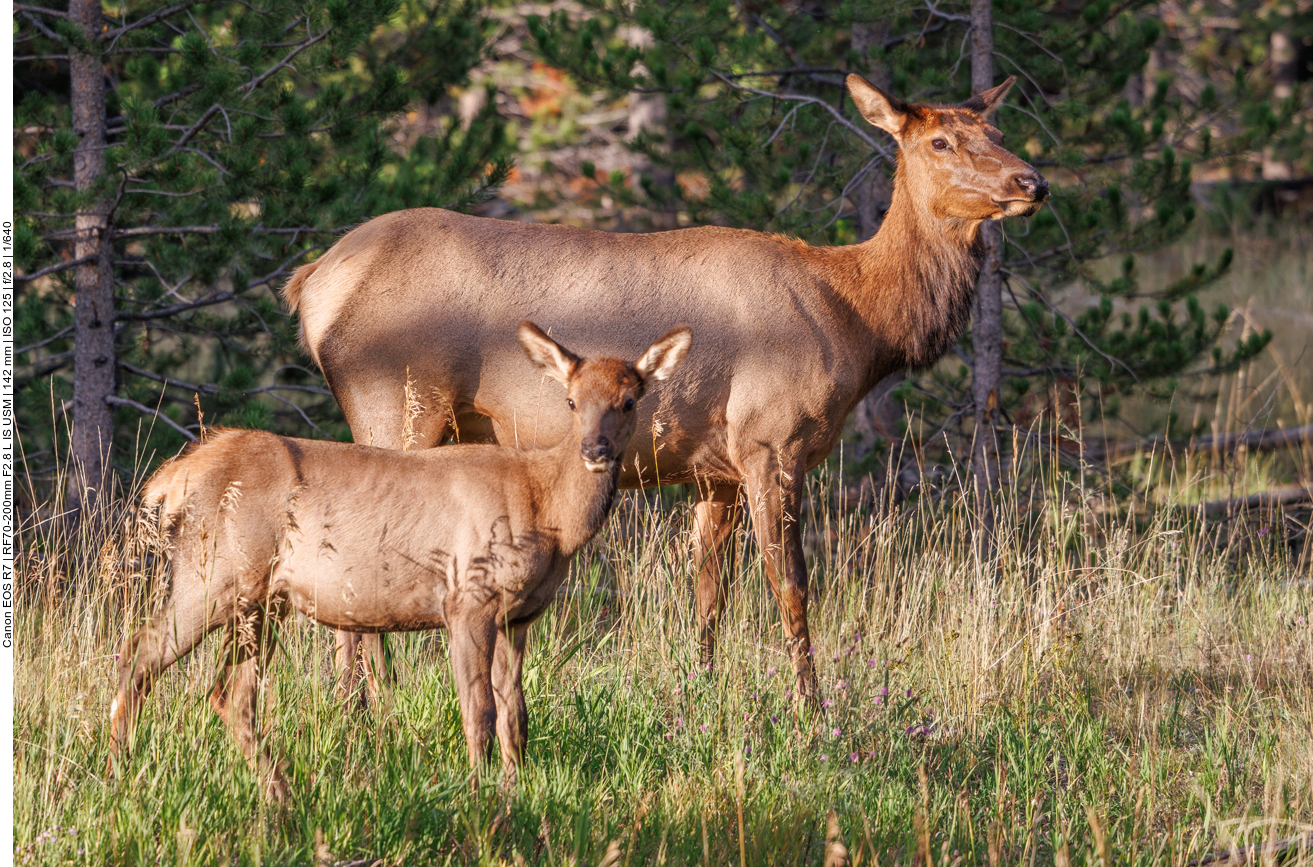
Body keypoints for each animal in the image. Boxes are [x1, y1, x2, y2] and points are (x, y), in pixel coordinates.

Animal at [107, 321, 693, 793]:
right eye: (570, 401)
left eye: (629, 401)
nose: (595, 450)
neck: (547, 511)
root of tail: (173, 478)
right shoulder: (466, 598)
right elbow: (478, 709)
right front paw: (480, 795)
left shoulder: (520, 616)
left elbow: (517, 715)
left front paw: (515, 790)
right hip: (216, 574)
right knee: (139, 654)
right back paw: (119, 772)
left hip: (263, 601)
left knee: (229, 695)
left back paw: (279, 795)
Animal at [284, 72, 1045, 704]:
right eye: (940, 140)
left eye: (996, 131)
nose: (1032, 181)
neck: (858, 322)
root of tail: (312, 284)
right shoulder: (770, 440)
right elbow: (790, 583)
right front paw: (813, 707)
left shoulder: (716, 470)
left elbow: (709, 589)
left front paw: (700, 689)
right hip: (397, 401)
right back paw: (368, 698)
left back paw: (360, 694)